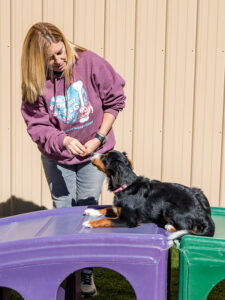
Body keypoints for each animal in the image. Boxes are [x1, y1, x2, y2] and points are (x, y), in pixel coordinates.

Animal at [82, 150, 214, 239]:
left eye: (105, 157)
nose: (91, 153)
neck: (126, 185)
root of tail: (203, 214)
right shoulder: (118, 210)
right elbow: (107, 209)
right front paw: (92, 211)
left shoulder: (129, 220)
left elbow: (106, 220)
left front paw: (89, 223)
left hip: (169, 206)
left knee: (192, 229)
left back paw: (169, 226)